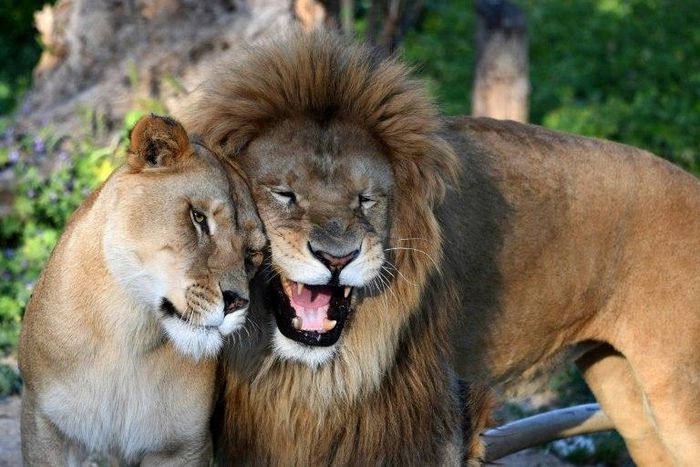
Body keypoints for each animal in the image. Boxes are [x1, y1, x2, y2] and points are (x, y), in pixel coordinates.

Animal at [18, 115, 266, 466]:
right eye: (198, 218)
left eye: (251, 255)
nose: (237, 303)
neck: (128, 335)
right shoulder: (43, 421)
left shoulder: (182, 447)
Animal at [187, 31, 700, 465]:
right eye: (284, 194)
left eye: (366, 199)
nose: (337, 258)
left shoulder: (437, 418)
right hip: (626, 394)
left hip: (678, 394)